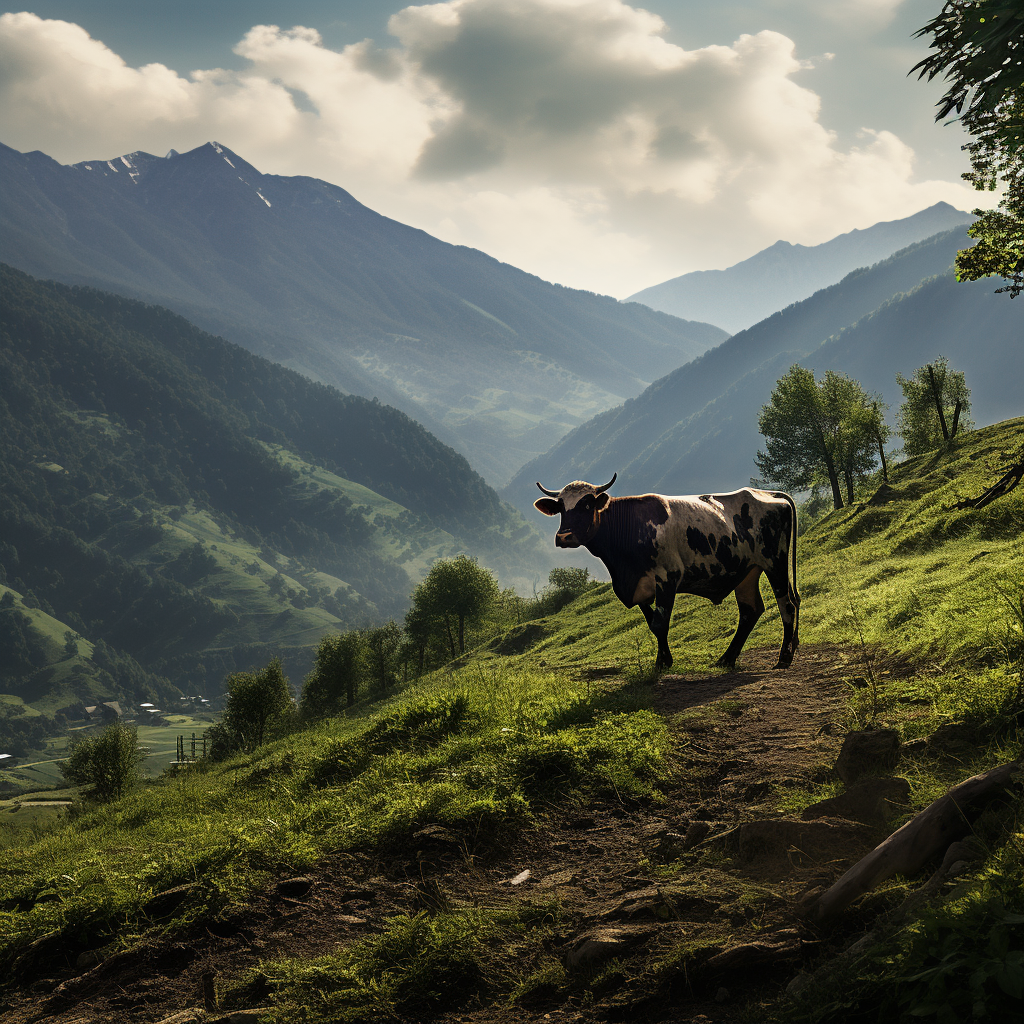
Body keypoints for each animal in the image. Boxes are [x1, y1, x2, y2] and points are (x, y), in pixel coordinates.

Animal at [536, 473, 798, 671]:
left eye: (587, 504)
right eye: (561, 508)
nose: (565, 537)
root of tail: (767, 493)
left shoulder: (667, 578)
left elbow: (660, 623)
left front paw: (662, 663)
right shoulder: (639, 586)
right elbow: (653, 623)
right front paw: (665, 659)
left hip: (775, 561)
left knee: (787, 605)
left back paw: (784, 658)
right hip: (747, 572)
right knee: (750, 611)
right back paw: (726, 659)